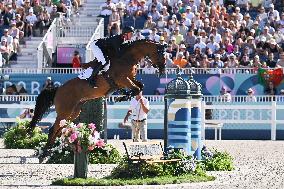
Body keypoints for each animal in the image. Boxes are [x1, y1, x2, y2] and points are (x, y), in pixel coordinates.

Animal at [28, 39, 166, 162]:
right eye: (161, 55)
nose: (162, 71)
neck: (127, 58)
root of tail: (58, 89)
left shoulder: (129, 79)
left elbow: (140, 86)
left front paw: (124, 96)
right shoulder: (123, 80)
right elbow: (137, 88)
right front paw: (123, 96)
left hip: (73, 112)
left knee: (59, 130)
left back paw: (51, 151)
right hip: (65, 112)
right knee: (53, 130)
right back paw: (43, 154)